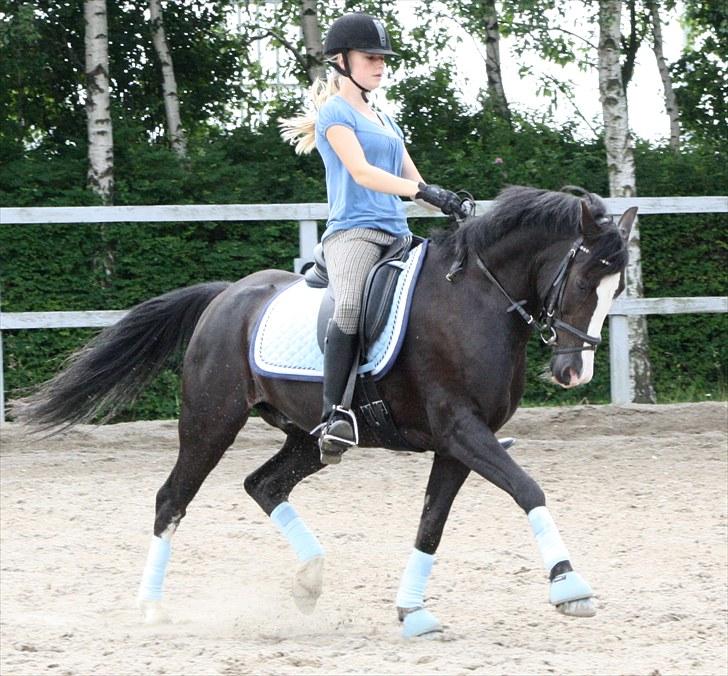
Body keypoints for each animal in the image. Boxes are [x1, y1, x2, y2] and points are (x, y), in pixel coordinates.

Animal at [11, 185, 637, 638]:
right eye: (585, 278)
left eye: (617, 289)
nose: (573, 373)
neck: (476, 300)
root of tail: (225, 296)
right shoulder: (461, 430)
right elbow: (528, 489)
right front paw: (570, 588)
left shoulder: (459, 443)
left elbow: (431, 524)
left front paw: (412, 613)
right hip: (211, 422)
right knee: (172, 499)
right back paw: (152, 608)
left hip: (305, 436)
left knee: (263, 484)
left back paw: (309, 579)